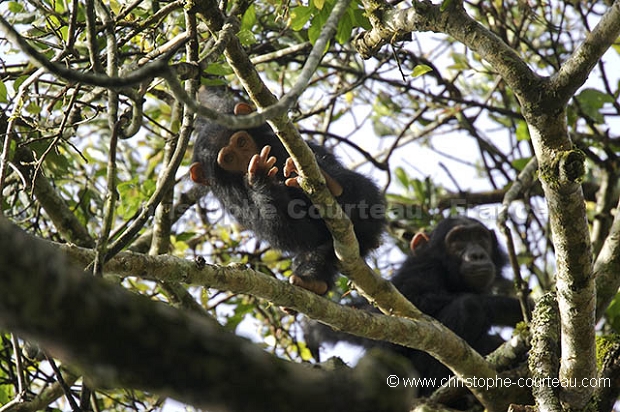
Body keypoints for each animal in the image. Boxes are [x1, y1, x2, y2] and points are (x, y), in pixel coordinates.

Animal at [189, 87, 386, 294]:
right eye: (229, 158)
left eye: (241, 142)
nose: (251, 158)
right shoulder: (234, 198)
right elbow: (293, 231)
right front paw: (261, 179)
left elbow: (210, 99)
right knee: (318, 250)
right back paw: (311, 279)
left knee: (360, 192)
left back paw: (333, 184)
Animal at [302, 217, 524, 394]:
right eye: (458, 241)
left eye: (480, 238)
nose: (476, 254)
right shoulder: (422, 269)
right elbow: (414, 304)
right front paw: (513, 306)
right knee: (469, 307)